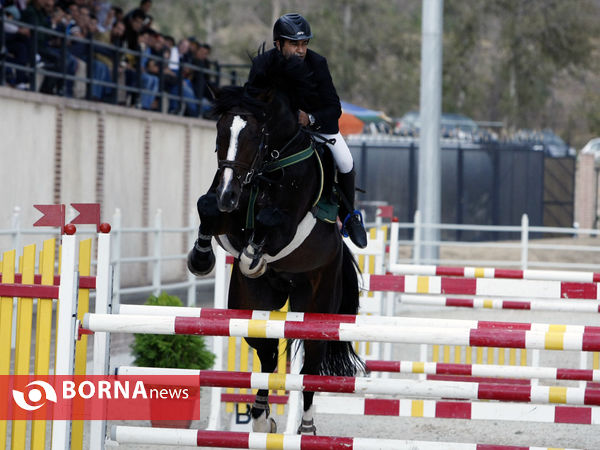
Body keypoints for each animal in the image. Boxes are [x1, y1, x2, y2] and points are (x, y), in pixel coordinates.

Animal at [190, 51, 364, 434]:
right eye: (220, 132)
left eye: (255, 134)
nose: (229, 195)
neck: (271, 163)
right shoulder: (229, 217)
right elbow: (205, 207)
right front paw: (201, 257)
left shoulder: (286, 226)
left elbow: (269, 225)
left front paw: (253, 256)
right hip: (253, 302)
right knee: (267, 352)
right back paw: (259, 416)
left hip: (317, 302)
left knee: (310, 363)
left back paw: (306, 426)